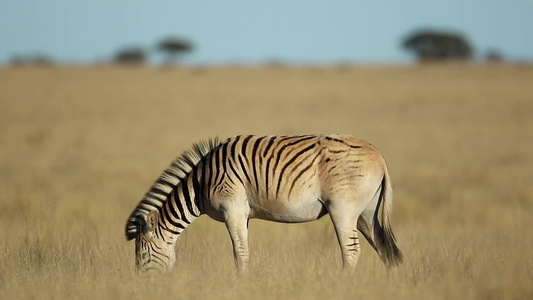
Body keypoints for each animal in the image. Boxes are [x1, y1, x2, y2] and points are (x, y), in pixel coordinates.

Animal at [123, 135, 400, 274]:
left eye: (143, 255)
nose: (143, 286)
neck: (202, 183)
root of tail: (379, 155)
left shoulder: (232, 209)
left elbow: (240, 253)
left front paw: (241, 284)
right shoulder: (243, 214)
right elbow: (244, 250)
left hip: (343, 209)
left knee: (351, 251)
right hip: (366, 214)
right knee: (384, 249)